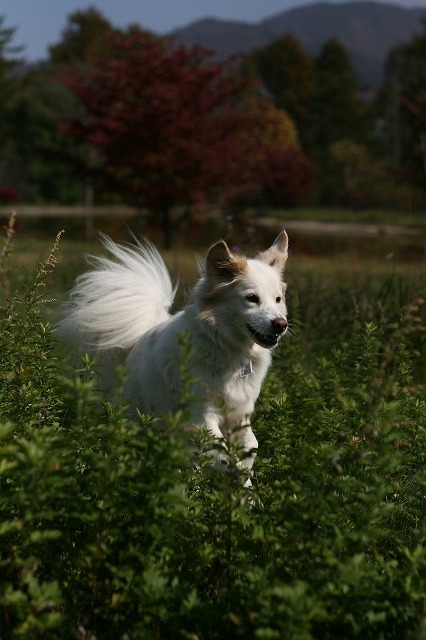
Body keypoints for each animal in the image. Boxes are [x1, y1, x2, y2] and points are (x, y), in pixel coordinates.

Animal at [59, 230, 290, 484]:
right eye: (251, 298)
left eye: (278, 299)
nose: (281, 324)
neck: (227, 348)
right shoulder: (201, 417)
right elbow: (222, 452)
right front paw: (235, 475)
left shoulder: (239, 413)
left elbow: (251, 446)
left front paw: (246, 486)